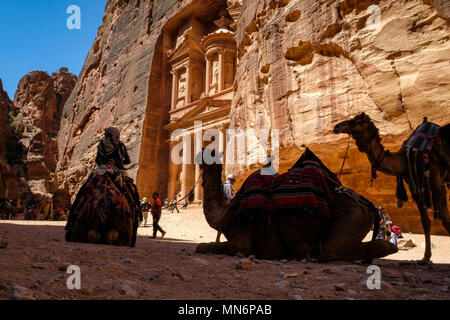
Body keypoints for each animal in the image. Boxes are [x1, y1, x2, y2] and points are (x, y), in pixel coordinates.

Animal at [197, 149, 398, 262]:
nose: (198, 154)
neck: (224, 214)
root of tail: (371, 206)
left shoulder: (241, 242)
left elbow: (202, 247)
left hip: (353, 214)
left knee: (334, 250)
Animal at [332, 112, 448, 262]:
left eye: (353, 121)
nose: (336, 127)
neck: (404, 159)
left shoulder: (435, 179)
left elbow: (445, 219)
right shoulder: (414, 184)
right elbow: (426, 222)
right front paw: (425, 258)